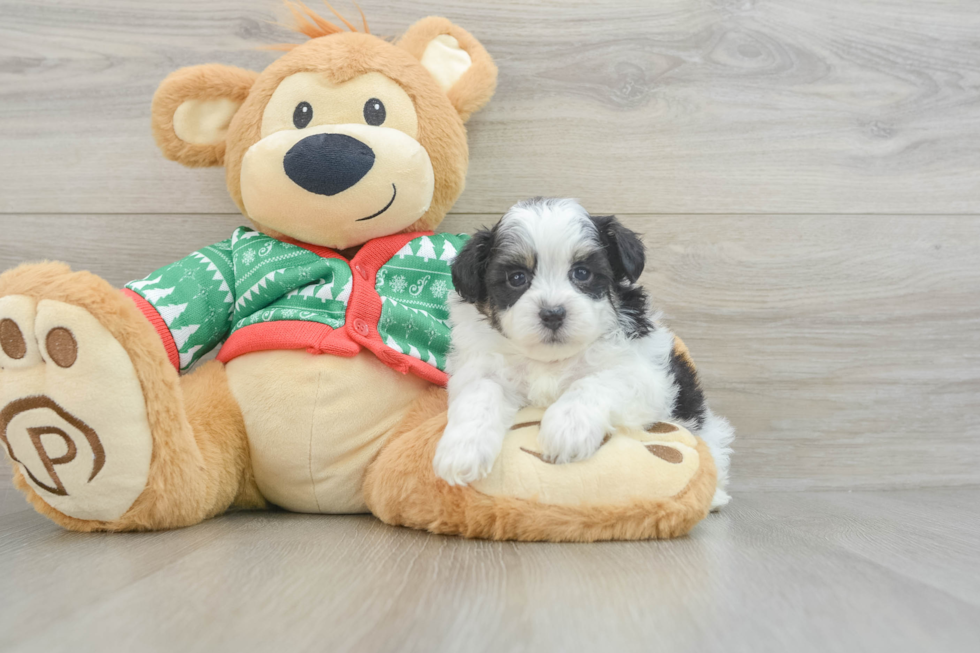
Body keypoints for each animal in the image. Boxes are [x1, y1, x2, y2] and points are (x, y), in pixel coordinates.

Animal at [432, 197, 732, 510]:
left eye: (582, 273)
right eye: (517, 278)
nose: (553, 313)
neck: (550, 360)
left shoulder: (647, 375)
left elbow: (595, 382)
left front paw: (567, 427)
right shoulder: (481, 367)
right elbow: (481, 394)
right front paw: (462, 449)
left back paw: (715, 495)